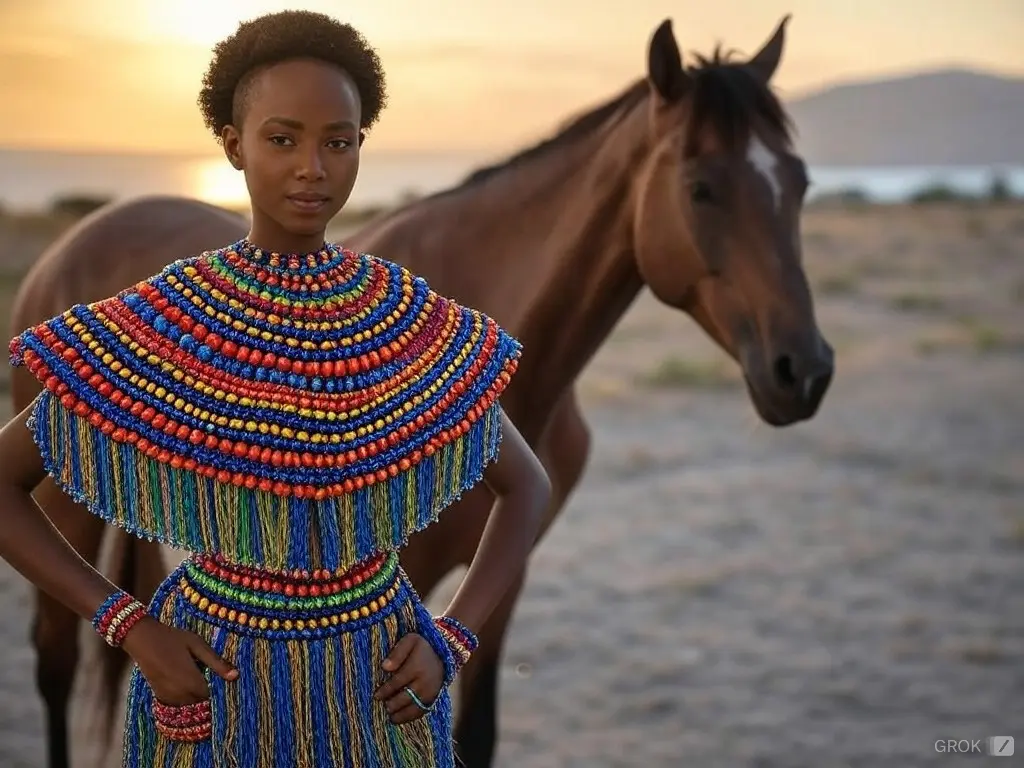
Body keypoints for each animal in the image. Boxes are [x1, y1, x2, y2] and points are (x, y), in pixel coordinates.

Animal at [12, 18, 831, 768]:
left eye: (800, 183)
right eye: (701, 188)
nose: (807, 370)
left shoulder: (508, 570)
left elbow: (475, 724)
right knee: (54, 660)